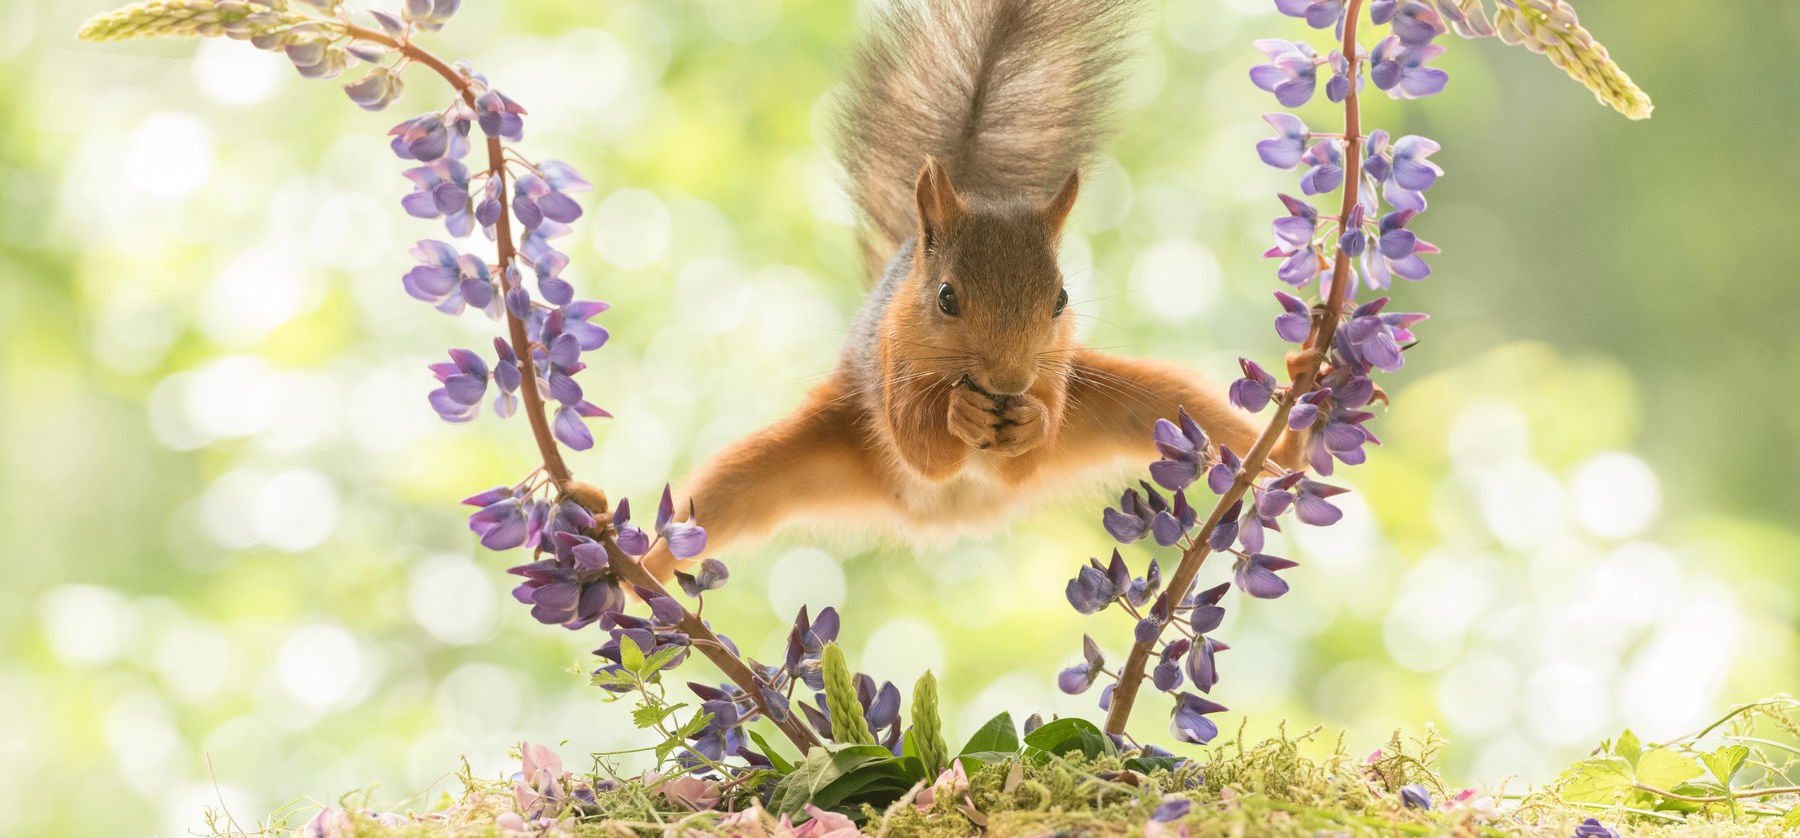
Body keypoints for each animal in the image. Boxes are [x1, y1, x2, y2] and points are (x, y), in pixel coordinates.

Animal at [644, 0, 1296, 575]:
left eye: (1061, 299)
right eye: (946, 298)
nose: (1009, 382)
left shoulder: (1057, 370)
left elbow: (1026, 457)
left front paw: (1030, 422)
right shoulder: (892, 356)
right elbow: (920, 445)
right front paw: (958, 412)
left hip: (1145, 407)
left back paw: (1291, 443)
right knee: (723, 498)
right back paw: (639, 575)